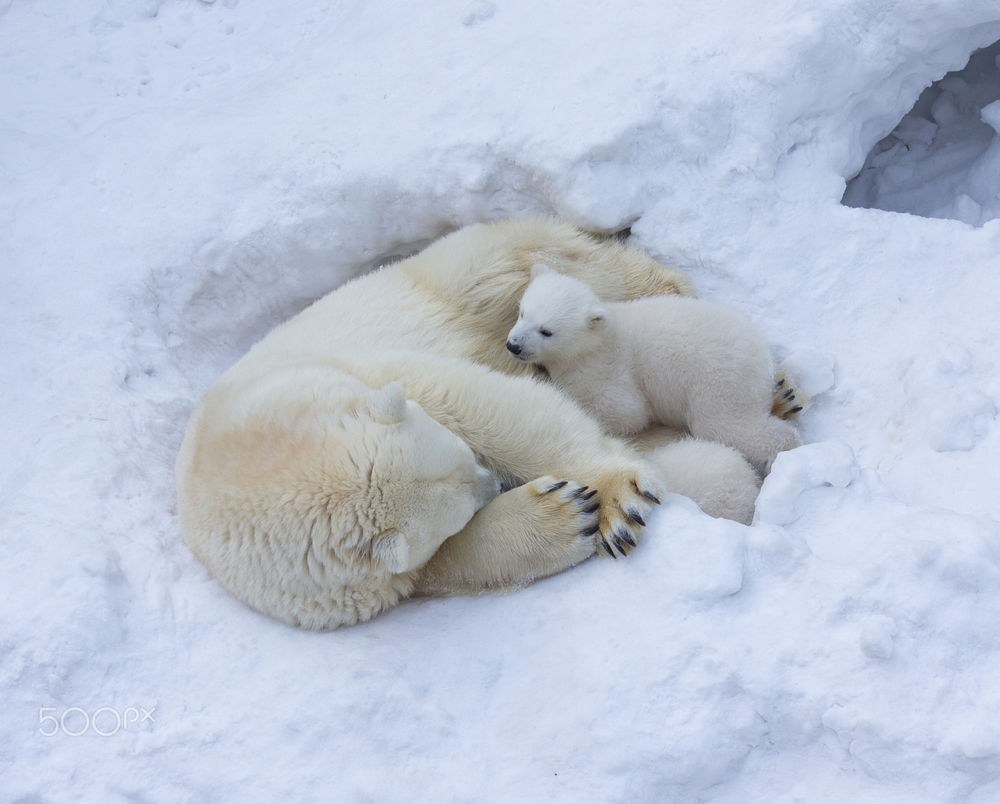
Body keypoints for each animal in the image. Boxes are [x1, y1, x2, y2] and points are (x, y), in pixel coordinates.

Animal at [178, 217, 756, 632]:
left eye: (460, 451)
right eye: (459, 510)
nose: (489, 482)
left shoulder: (361, 369)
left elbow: (479, 400)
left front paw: (617, 500)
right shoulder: (338, 585)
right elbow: (436, 566)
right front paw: (565, 514)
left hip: (472, 272)